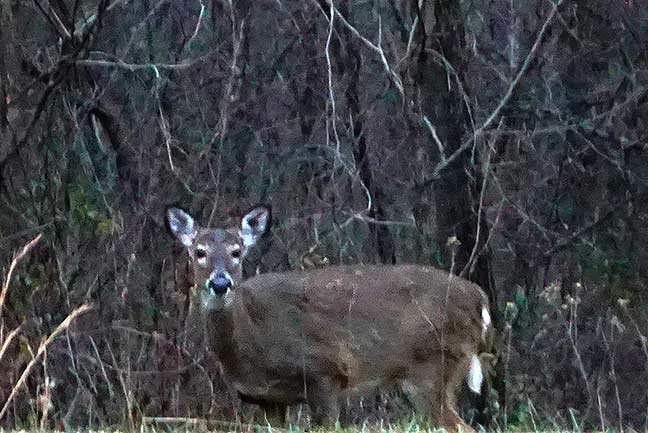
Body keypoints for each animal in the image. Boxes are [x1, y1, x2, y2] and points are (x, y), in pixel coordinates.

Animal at [166, 205, 492, 432]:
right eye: (199, 251)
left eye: (237, 252)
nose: (220, 284)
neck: (252, 340)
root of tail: (479, 298)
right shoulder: (269, 399)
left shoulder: (324, 372)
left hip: (433, 366)